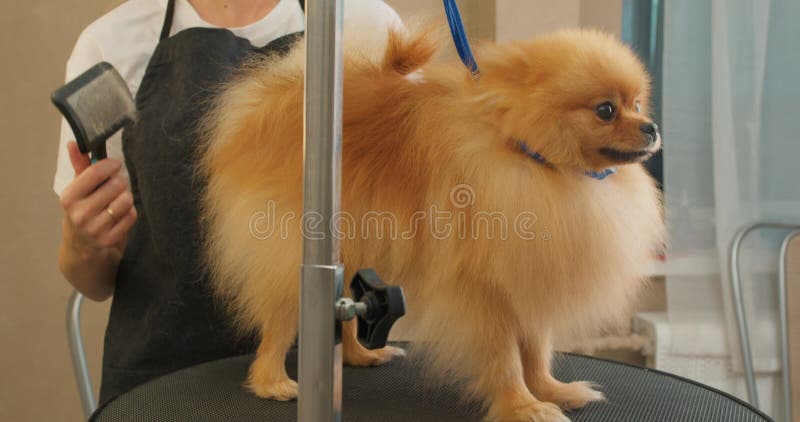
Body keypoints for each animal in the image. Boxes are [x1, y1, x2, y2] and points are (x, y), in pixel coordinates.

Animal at [200, 23, 664, 422]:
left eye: (638, 104)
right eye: (606, 110)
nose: (651, 126)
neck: (532, 159)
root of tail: (279, 98)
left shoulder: (529, 277)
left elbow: (536, 350)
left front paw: (552, 390)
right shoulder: (484, 291)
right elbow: (504, 357)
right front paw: (523, 406)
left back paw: (361, 355)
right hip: (299, 248)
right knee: (281, 318)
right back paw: (272, 381)